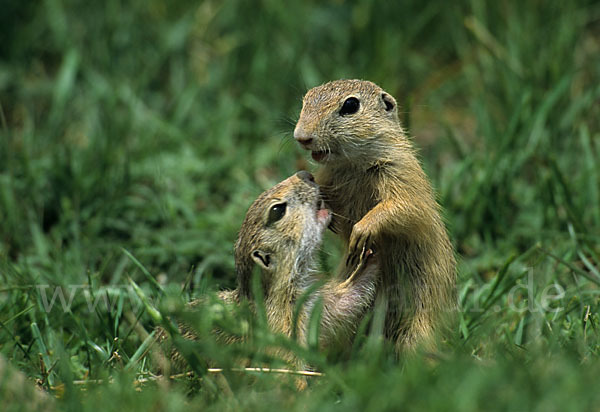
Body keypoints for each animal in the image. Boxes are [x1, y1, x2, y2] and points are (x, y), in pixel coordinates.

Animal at [292, 79, 458, 350]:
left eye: (350, 105)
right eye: (306, 98)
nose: (302, 137)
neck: (353, 165)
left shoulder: (401, 175)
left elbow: (402, 207)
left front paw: (361, 231)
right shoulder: (328, 178)